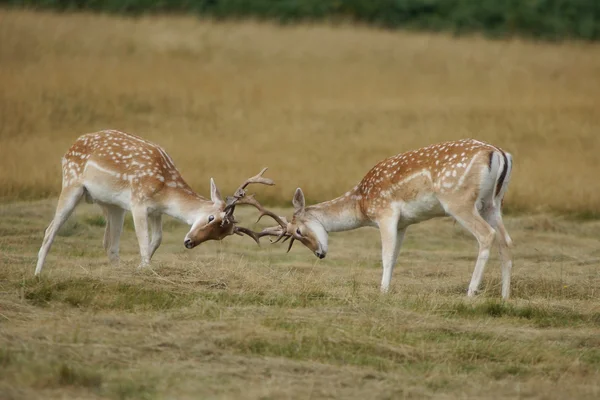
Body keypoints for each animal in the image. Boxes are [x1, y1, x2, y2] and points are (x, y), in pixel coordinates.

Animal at [35, 130, 282, 276]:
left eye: (221, 235)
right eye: (211, 217)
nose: (189, 242)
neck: (165, 189)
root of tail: (70, 147)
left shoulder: (156, 211)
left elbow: (157, 239)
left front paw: (141, 268)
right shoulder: (138, 202)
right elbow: (144, 241)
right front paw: (146, 269)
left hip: (113, 206)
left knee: (109, 244)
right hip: (72, 183)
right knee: (50, 230)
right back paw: (37, 274)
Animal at [260, 139, 512, 298]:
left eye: (298, 231)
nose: (319, 254)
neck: (361, 202)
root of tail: (499, 154)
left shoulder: (386, 213)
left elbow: (386, 256)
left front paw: (382, 292)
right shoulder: (404, 223)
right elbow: (396, 256)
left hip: (459, 201)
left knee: (486, 235)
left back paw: (471, 292)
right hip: (493, 203)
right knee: (506, 240)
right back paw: (505, 296)